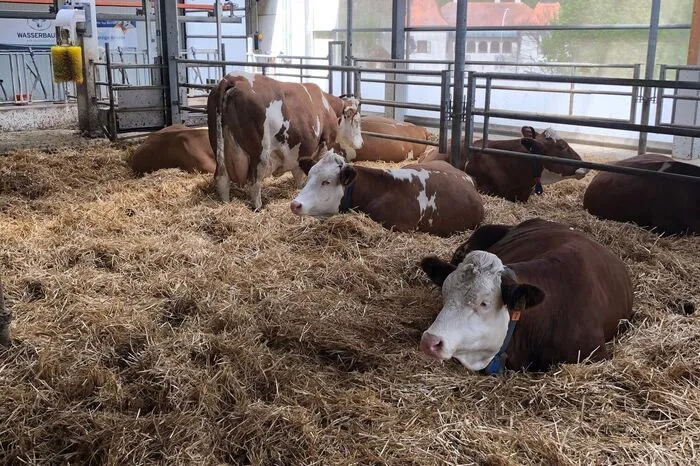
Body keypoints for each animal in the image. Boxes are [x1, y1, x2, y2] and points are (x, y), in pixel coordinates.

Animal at [207, 72, 363, 210]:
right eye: (356, 121)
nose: (361, 143)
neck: (327, 106)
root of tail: (232, 78)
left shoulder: (299, 153)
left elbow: (299, 173)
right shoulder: (325, 144)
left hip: (219, 148)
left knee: (222, 179)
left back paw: (226, 204)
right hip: (260, 155)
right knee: (254, 183)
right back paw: (258, 207)